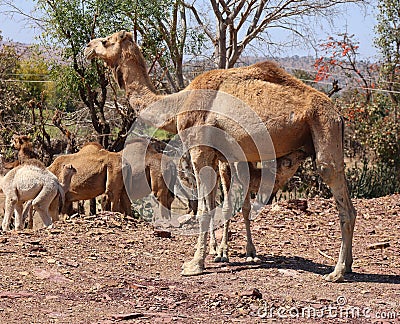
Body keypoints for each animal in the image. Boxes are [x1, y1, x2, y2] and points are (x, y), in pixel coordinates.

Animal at [84, 31, 356, 284]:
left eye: (106, 41)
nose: (88, 47)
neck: (178, 102)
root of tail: (338, 114)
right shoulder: (219, 155)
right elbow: (222, 204)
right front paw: (223, 253)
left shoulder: (200, 150)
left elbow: (205, 208)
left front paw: (195, 264)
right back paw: (348, 266)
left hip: (323, 127)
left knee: (338, 194)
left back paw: (337, 272)